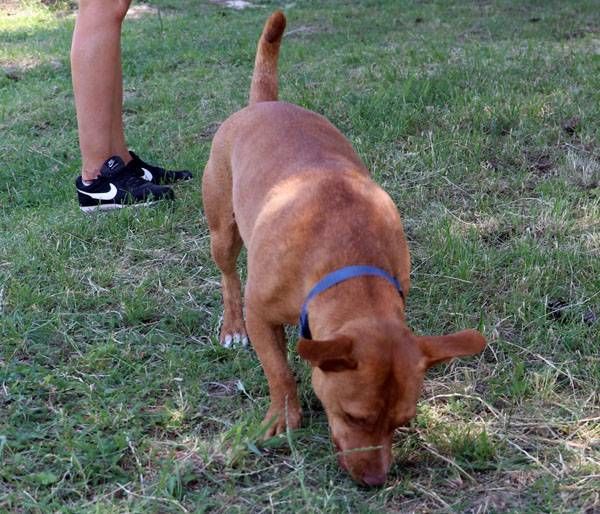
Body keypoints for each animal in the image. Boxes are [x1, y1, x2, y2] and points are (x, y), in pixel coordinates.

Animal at [202, 11, 486, 486]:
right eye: (353, 416)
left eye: (401, 423)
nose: (374, 482)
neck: (351, 261)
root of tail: (263, 105)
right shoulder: (262, 315)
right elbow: (279, 370)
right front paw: (283, 414)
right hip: (223, 231)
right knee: (227, 276)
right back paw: (231, 326)